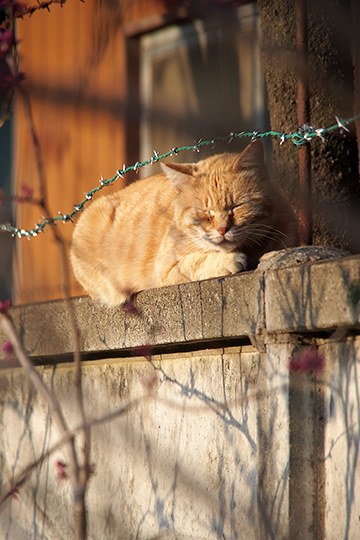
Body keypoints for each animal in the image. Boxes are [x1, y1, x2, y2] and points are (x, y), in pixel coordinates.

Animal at [70, 141, 298, 306]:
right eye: (205, 214)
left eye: (236, 207)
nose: (222, 229)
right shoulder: (166, 269)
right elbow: (194, 262)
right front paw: (227, 261)